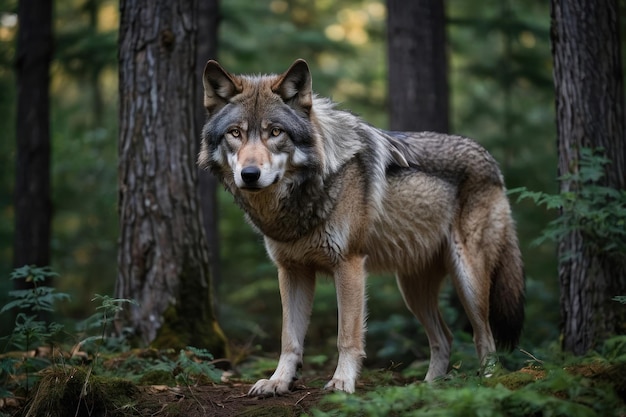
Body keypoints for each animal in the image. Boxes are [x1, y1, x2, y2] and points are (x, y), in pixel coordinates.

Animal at [197, 57, 524, 394]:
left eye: (275, 132)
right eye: (235, 133)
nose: (249, 175)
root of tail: (491, 160)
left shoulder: (349, 264)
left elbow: (347, 336)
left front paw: (342, 382)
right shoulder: (291, 271)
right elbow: (289, 339)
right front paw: (278, 381)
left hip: (468, 279)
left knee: (484, 336)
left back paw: (488, 382)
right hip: (412, 290)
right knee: (444, 338)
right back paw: (427, 388)